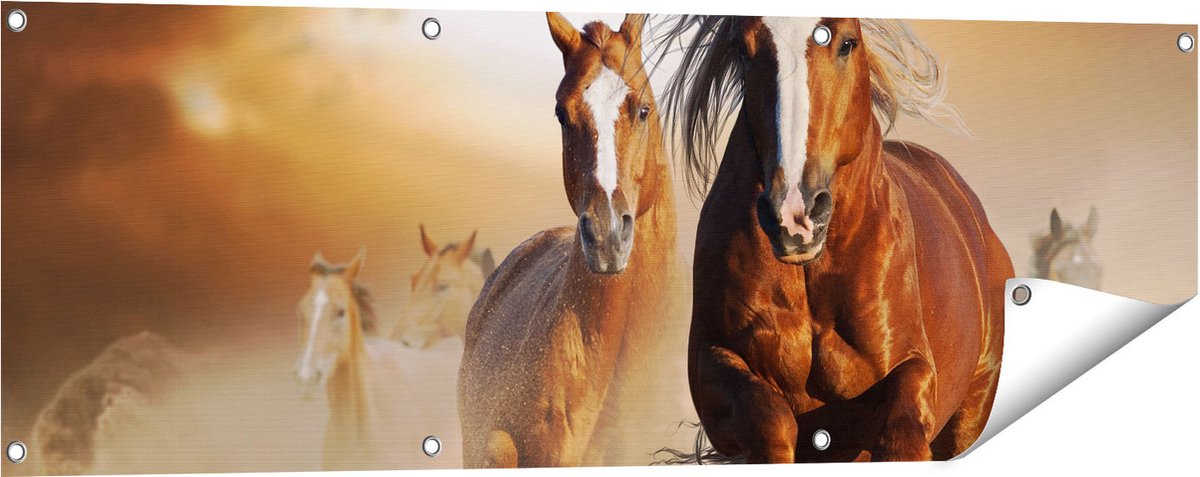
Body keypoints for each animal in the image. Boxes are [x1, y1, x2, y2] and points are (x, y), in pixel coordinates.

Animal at [656, 16, 1014, 462]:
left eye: (847, 43)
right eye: (743, 49)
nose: (794, 215)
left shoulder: (912, 368)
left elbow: (901, 430)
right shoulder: (712, 363)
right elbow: (770, 420)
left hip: (971, 413)